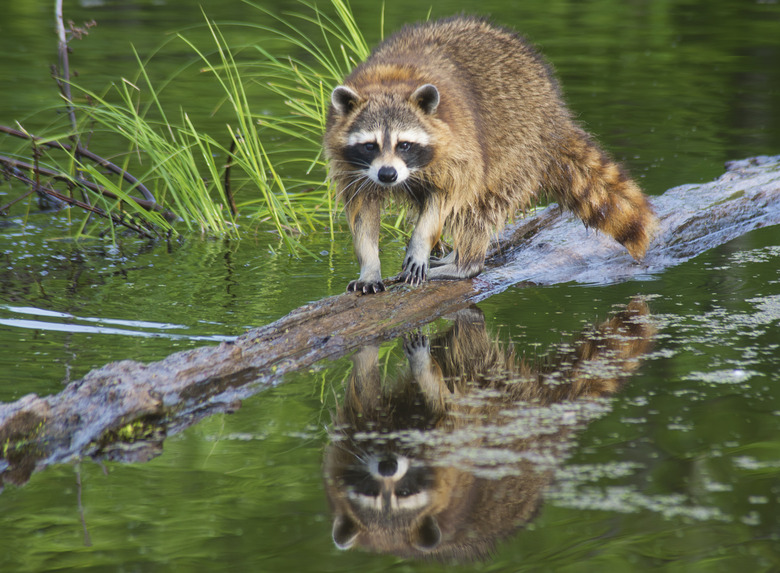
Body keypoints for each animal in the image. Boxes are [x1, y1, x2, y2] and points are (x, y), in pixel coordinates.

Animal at [322, 16, 660, 294]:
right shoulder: (353, 167)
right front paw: (369, 264)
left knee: (480, 206)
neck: (389, 81)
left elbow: (448, 196)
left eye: (404, 144)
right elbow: (362, 210)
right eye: (370, 145)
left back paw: (465, 263)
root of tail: (553, 110)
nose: (388, 175)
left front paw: (420, 244)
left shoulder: (460, 150)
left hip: (518, 145)